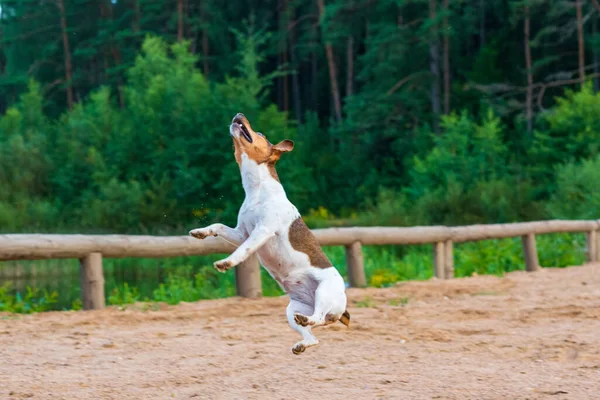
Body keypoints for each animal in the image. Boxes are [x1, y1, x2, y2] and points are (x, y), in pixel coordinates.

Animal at [190, 112, 350, 354]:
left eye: (261, 134)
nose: (239, 114)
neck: (256, 189)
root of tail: (342, 308)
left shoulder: (262, 231)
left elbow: (243, 251)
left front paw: (226, 262)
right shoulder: (242, 232)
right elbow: (217, 226)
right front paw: (199, 232)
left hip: (324, 292)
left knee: (320, 317)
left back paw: (310, 320)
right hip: (292, 310)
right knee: (314, 336)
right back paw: (302, 343)